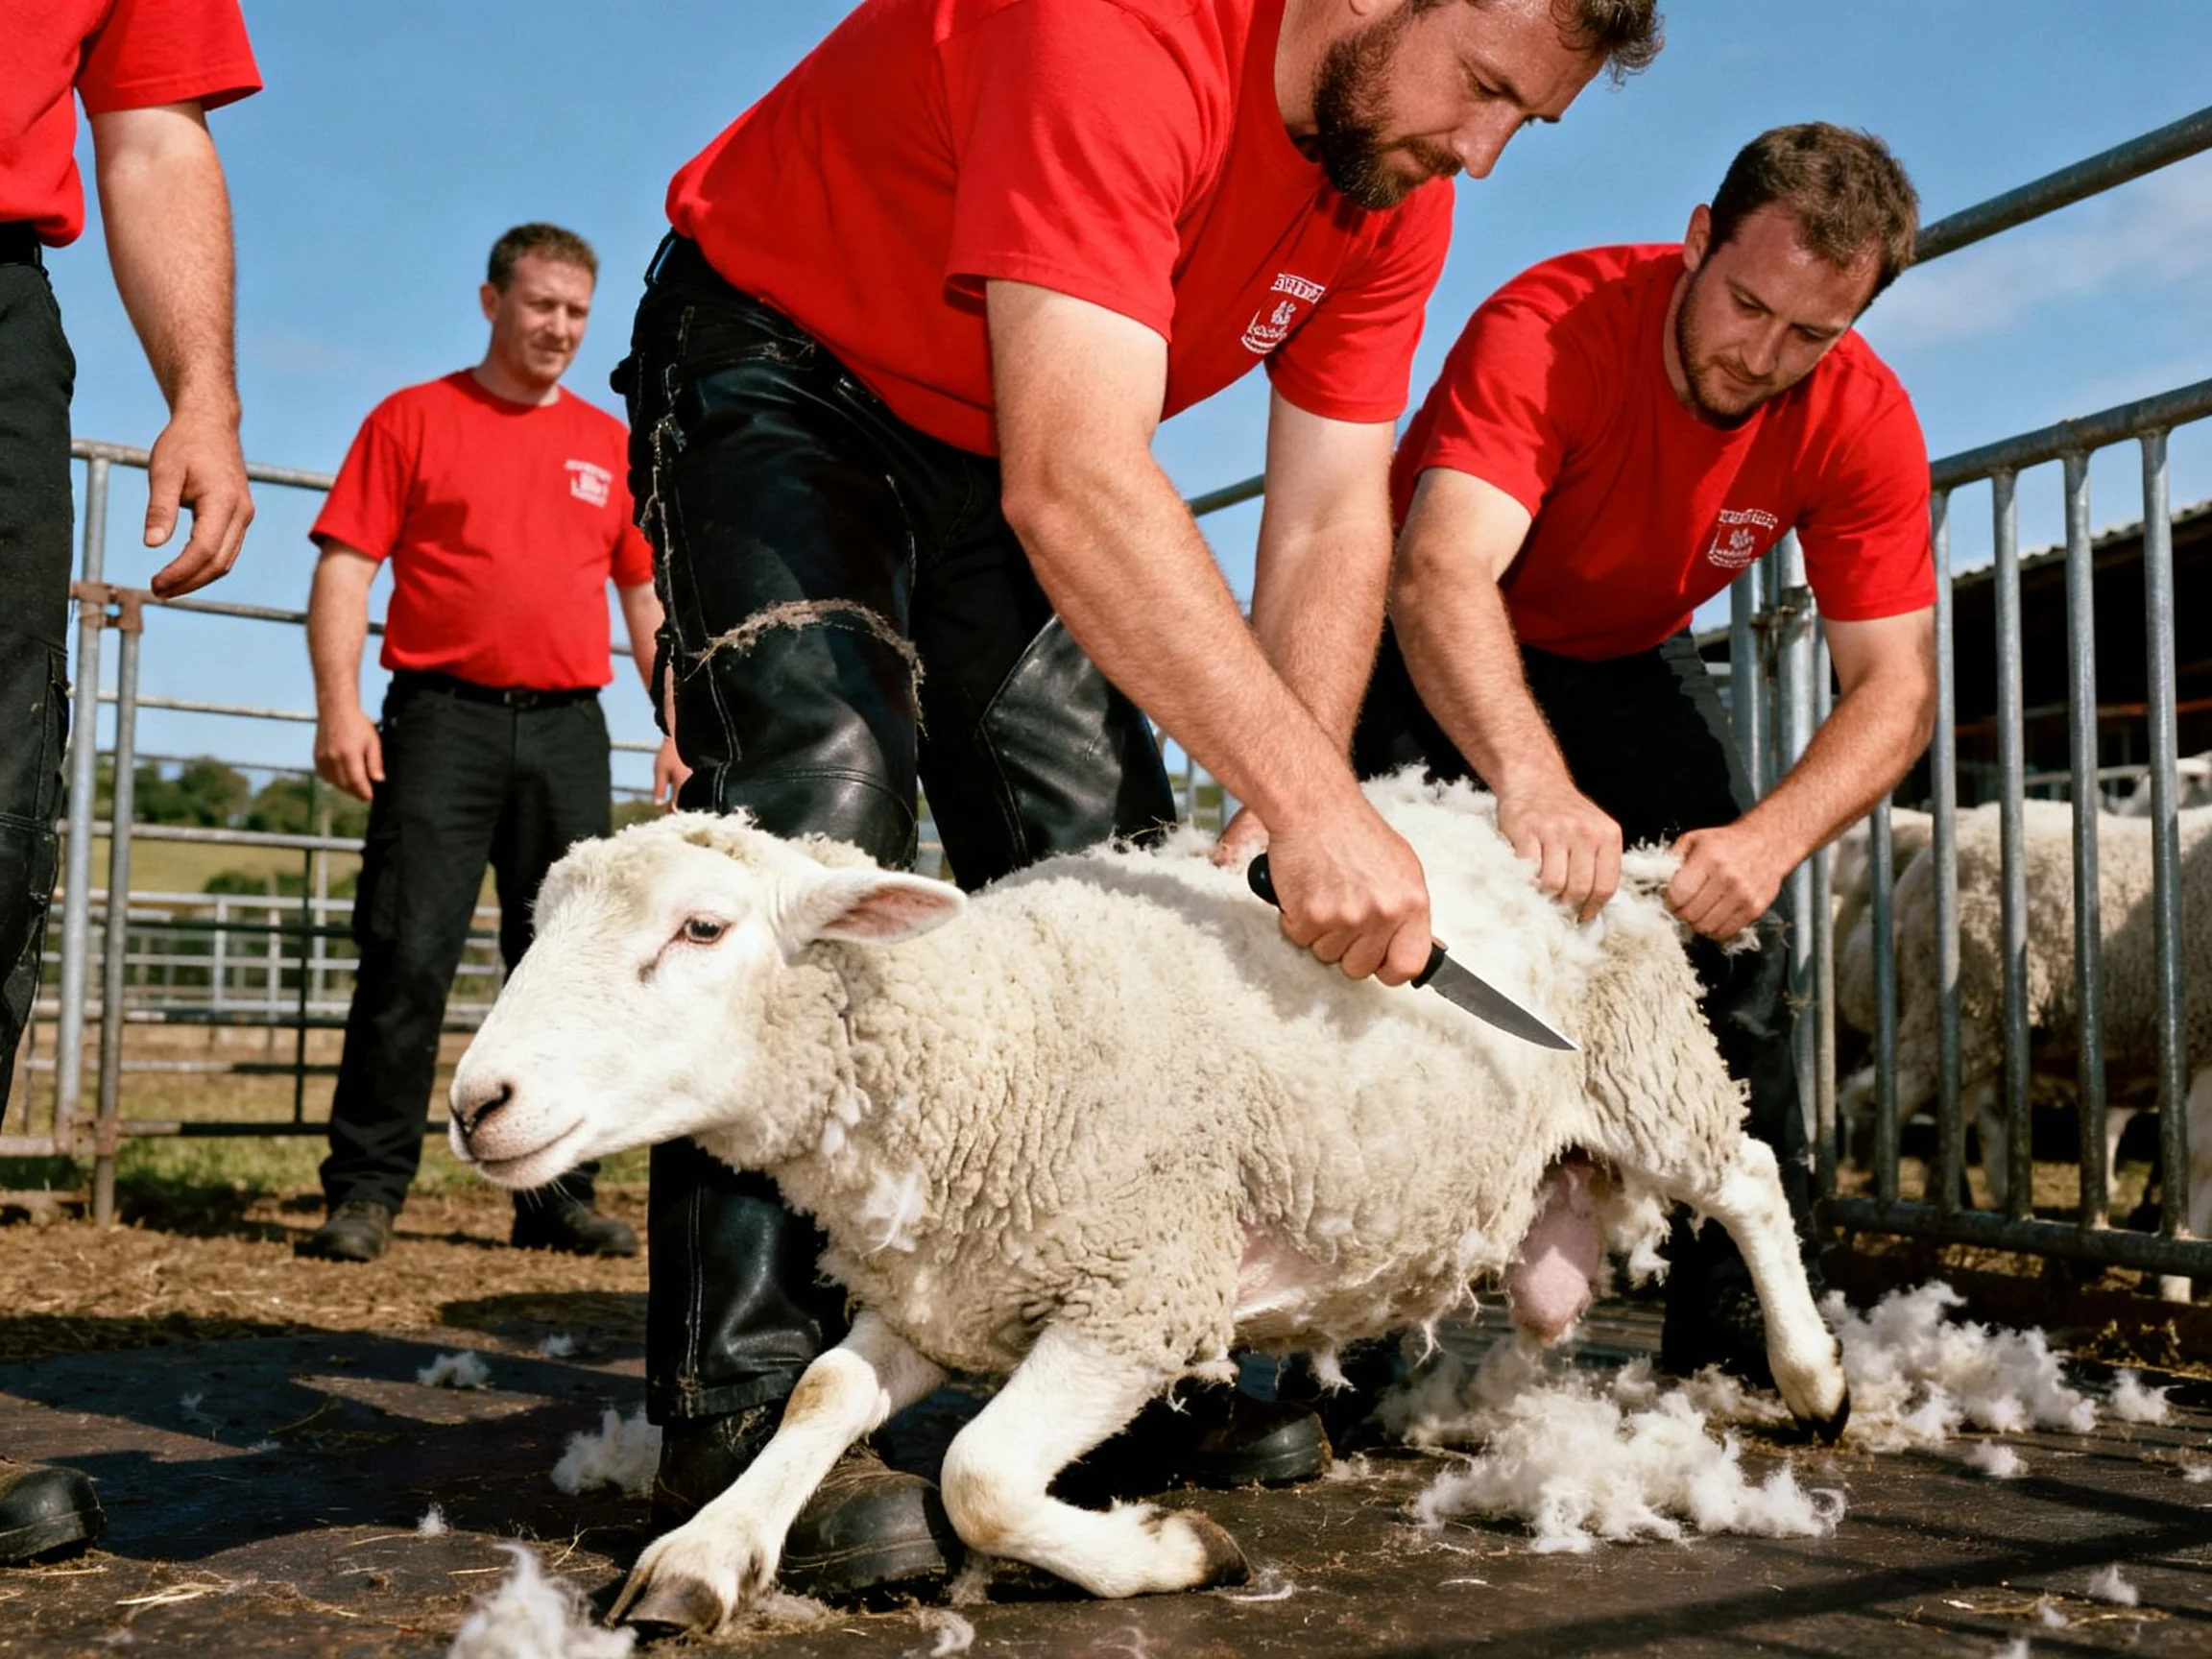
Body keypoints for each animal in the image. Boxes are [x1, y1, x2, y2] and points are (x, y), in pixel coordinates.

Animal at [446, 772, 1848, 1632]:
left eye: (701, 929)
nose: (475, 1100)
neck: (994, 1037)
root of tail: (1604, 854)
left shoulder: (1138, 1290)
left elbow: (980, 1476)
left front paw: (1178, 1552)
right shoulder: (944, 1284)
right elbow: (821, 1395)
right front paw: (704, 1551)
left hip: (1647, 1076)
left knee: (1750, 1177)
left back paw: (1814, 1376)